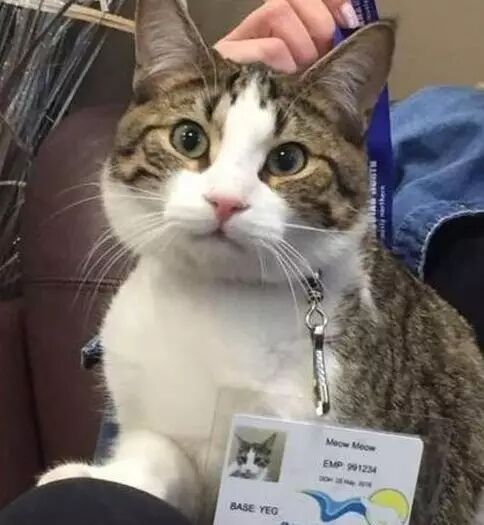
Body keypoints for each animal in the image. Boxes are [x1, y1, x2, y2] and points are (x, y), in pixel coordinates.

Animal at [38, 0, 484, 524]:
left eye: (288, 159)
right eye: (188, 138)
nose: (225, 201)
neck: (216, 301)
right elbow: (159, 454)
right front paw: (91, 475)